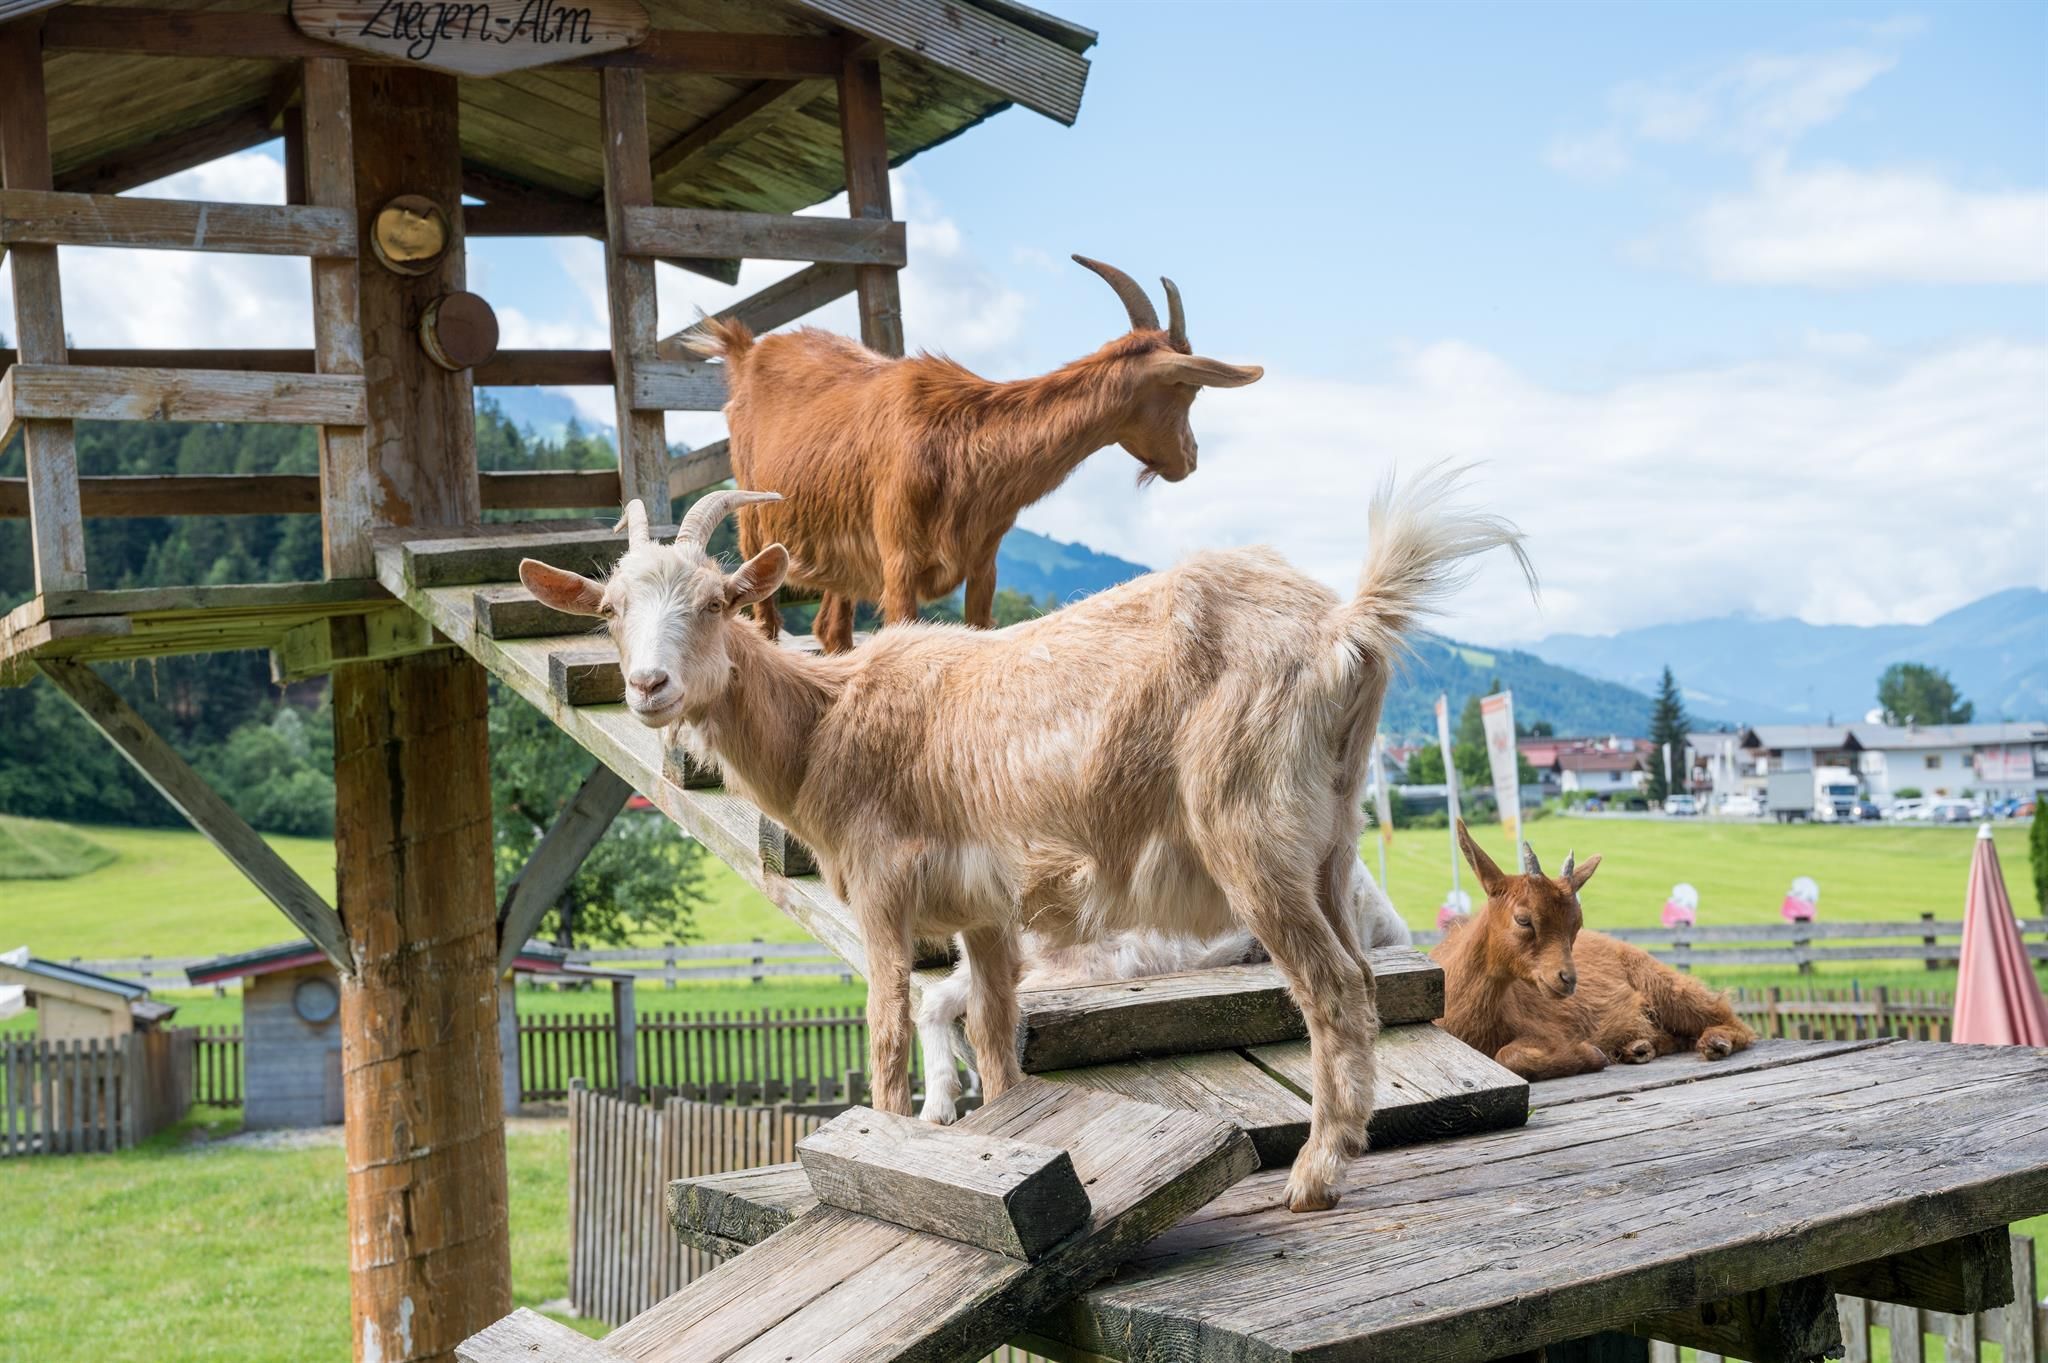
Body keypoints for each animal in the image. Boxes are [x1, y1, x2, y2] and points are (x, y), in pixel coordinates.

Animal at [685, 256, 1264, 652]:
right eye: (1191, 389)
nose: (1190, 457)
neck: (959, 442)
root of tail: (745, 350)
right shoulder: (898, 559)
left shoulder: (984, 563)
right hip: (756, 524)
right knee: (769, 619)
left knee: (832, 629)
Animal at [1433, 821, 1756, 1080]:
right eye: (1523, 919)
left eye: (1576, 924)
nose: (1567, 979)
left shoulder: (1547, 1030)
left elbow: (1507, 1056)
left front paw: (1590, 1053)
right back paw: (1639, 1047)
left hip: (1666, 986)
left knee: (1733, 1019)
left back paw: (1716, 1041)